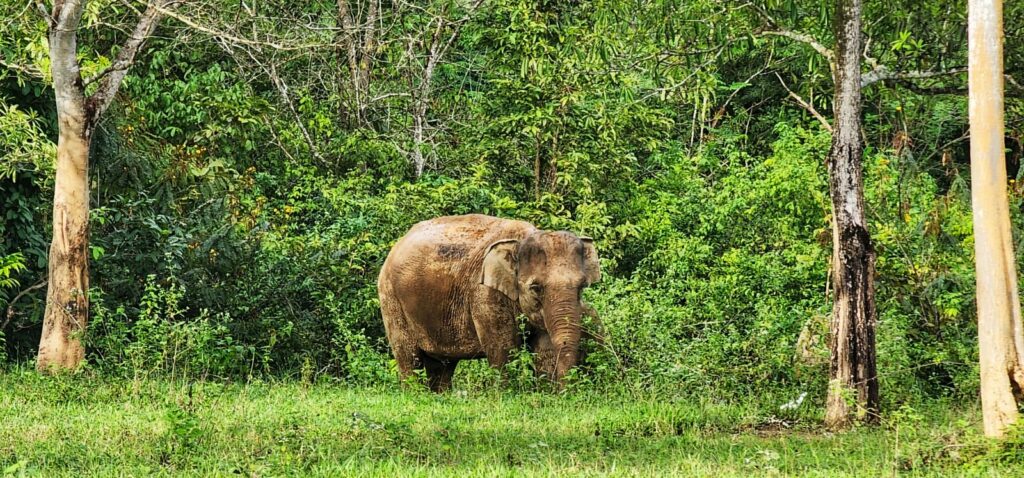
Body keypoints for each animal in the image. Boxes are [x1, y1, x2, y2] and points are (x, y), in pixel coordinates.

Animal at [376, 213, 598, 393]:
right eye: (536, 288)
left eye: (581, 286)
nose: (565, 392)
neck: (520, 240)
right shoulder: (483, 293)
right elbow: (502, 348)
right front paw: (505, 396)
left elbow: (544, 348)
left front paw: (546, 394)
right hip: (391, 298)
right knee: (408, 355)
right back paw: (415, 394)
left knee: (442, 365)